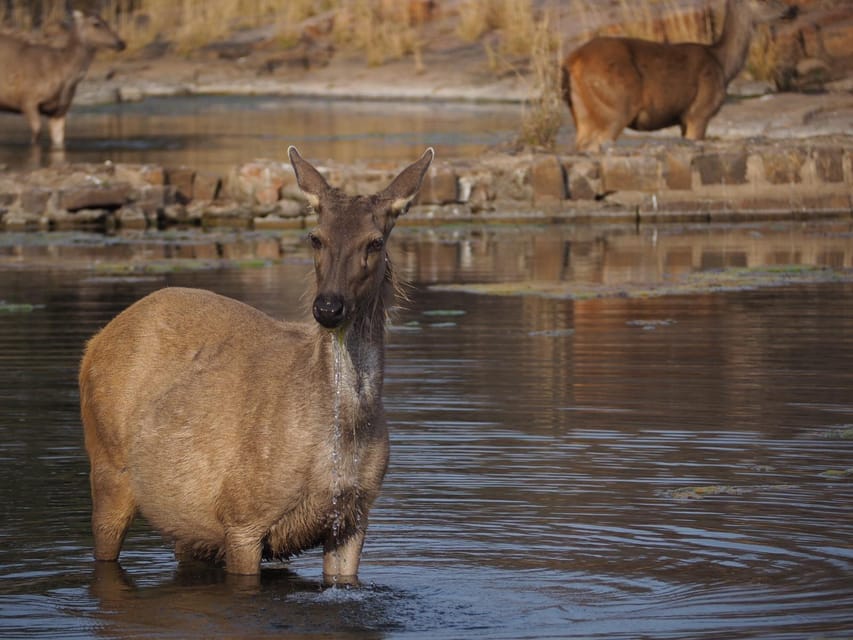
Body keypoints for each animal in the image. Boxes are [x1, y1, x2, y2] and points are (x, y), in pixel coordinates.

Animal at [0, 10, 125, 149]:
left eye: (107, 21)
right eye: (96, 23)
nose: (121, 43)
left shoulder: (61, 109)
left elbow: (59, 139)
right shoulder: (28, 99)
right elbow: (37, 132)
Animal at [80, 146, 436, 584]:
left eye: (374, 242)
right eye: (315, 237)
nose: (329, 306)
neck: (342, 436)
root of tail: (93, 343)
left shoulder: (354, 517)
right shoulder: (241, 516)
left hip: (186, 523)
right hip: (107, 465)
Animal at [564, 0, 796, 151]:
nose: (791, 9)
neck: (723, 65)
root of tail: (574, 59)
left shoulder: (684, 119)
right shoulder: (699, 112)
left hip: (582, 111)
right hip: (617, 105)